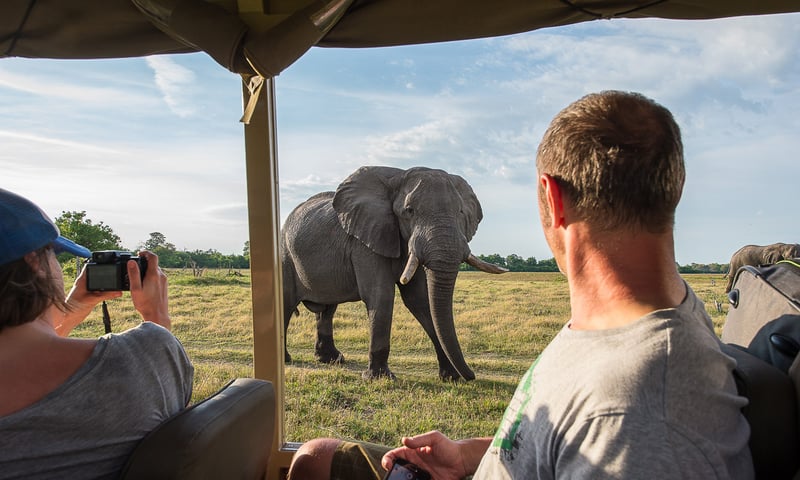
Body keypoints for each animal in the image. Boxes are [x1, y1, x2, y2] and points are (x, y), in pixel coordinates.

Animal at [281, 166, 507, 381]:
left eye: (460, 211)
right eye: (409, 211)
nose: (471, 375)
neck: (398, 177)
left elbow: (420, 300)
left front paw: (451, 377)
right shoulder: (365, 241)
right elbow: (381, 295)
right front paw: (379, 378)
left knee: (327, 309)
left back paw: (332, 360)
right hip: (284, 254)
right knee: (287, 303)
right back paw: (287, 360)